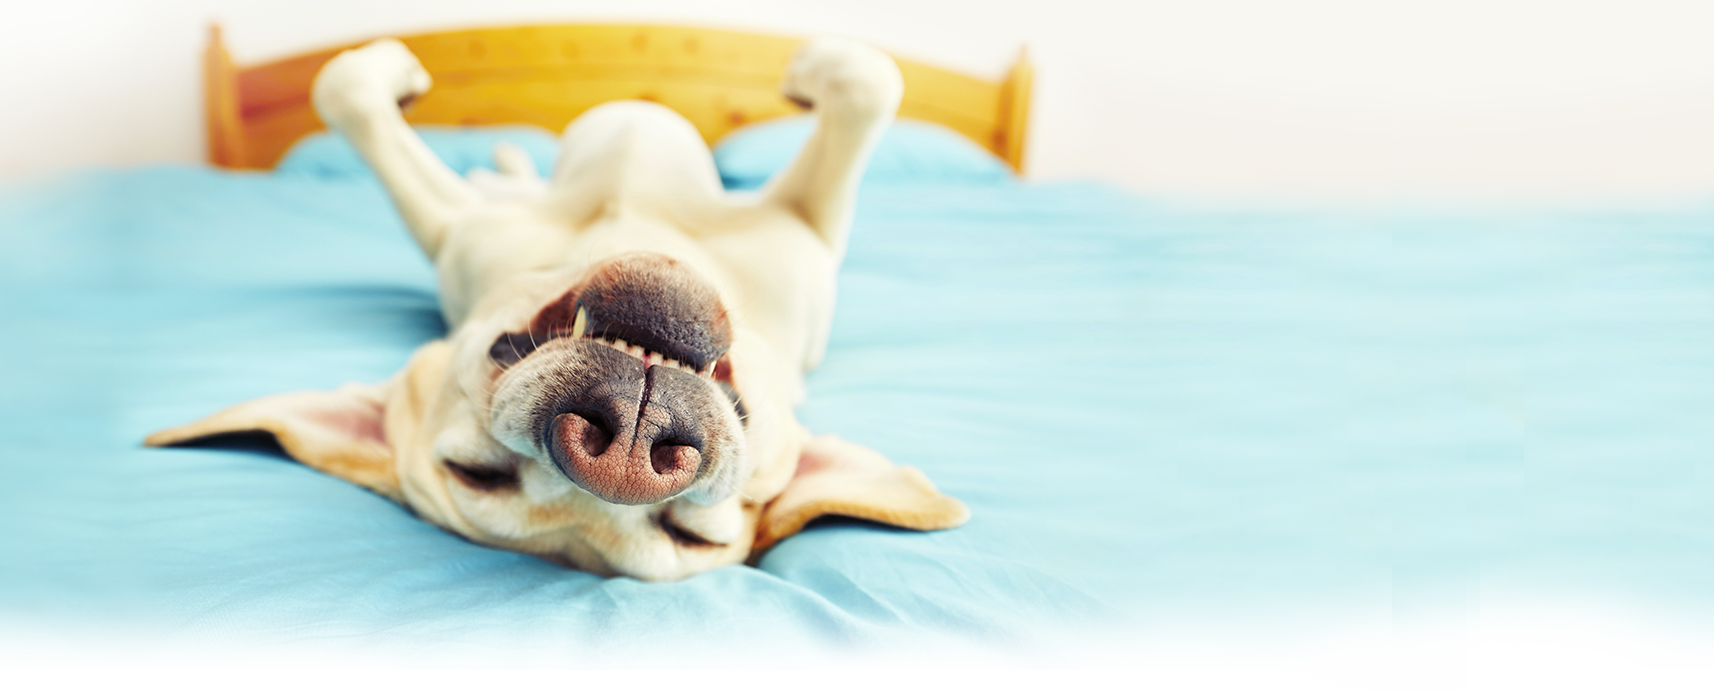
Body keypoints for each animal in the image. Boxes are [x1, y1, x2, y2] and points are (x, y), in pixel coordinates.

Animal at [146, 36, 968, 581]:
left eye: (693, 536)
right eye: (476, 475)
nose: (625, 455)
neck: (631, 228)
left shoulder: (808, 233)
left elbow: (870, 84)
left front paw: (811, 70)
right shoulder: (455, 229)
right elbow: (342, 89)